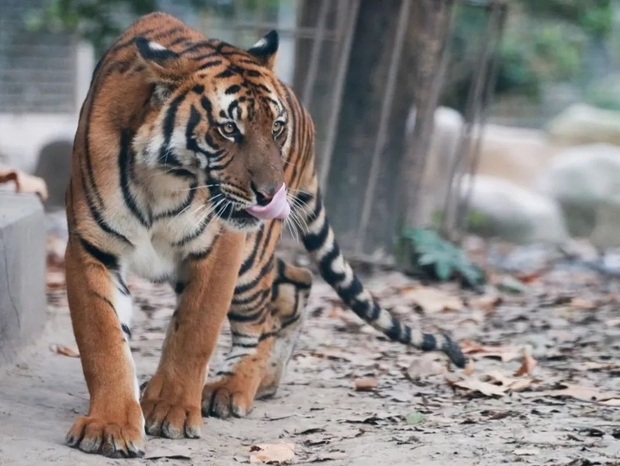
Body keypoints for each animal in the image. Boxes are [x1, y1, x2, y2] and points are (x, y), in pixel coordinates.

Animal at [64, 11, 464, 458]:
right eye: (228, 129)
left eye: (275, 128)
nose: (273, 194)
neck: (163, 182)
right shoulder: (91, 248)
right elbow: (103, 341)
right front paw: (110, 425)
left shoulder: (220, 247)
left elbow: (194, 332)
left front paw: (169, 410)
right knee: (297, 279)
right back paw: (266, 379)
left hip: (251, 258)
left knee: (265, 314)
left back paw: (231, 387)